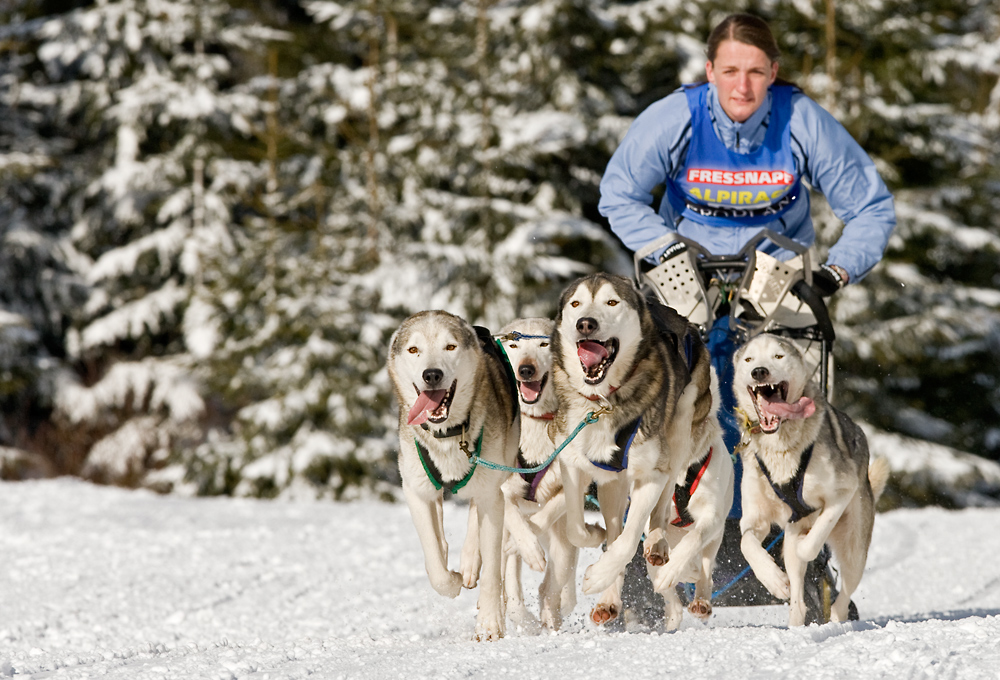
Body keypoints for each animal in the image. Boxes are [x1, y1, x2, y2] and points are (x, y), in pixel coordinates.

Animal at [386, 310, 520, 640]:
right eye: (414, 349)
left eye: (450, 347)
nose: (431, 374)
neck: (448, 435)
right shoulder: (417, 491)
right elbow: (435, 565)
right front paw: (451, 579)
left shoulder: (491, 493)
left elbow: (492, 570)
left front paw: (489, 624)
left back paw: (471, 561)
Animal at [496, 318, 584, 632]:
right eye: (514, 345)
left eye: (544, 344)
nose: (526, 369)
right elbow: (512, 515)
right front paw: (528, 547)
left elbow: (549, 511)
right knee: (510, 587)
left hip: (564, 542)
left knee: (553, 586)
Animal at [552, 272, 724, 628]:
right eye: (575, 303)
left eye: (611, 302)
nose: (585, 323)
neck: (605, 402)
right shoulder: (573, 463)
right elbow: (578, 529)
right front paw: (594, 538)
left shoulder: (651, 474)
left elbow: (630, 539)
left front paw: (598, 575)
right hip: (614, 485)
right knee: (617, 524)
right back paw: (609, 599)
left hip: (679, 432)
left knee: (663, 503)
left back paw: (656, 544)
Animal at [736, 334, 892, 628]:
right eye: (749, 359)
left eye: (778, 356)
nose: (759, 372)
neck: (781, 446)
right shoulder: (755, 518)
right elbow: (746, 543)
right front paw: (774, 580)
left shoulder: (841, 493)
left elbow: (810, 545)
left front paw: (803, 546)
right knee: (798, 601)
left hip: (854, 551)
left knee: (842, 598)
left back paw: (836, 619)